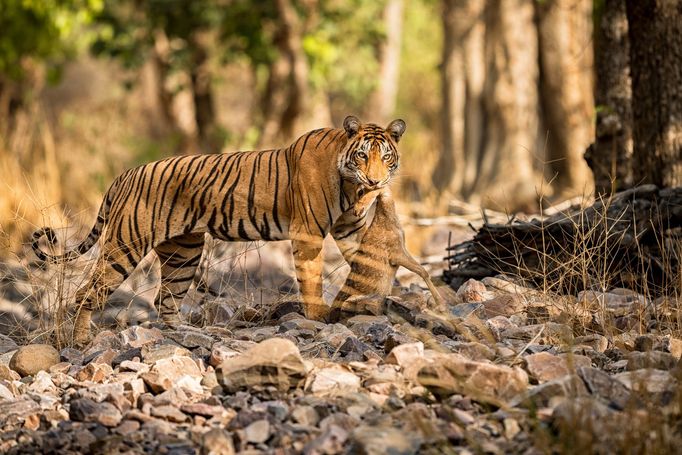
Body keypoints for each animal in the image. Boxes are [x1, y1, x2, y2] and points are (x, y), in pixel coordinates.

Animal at [31, 116, 404, 344]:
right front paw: (317, 317)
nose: (375, 181)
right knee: (88, 292)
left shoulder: (350, 229)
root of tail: (125, 174)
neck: (351, 188)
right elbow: (311, 278)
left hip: (184, 252)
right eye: (361, 156)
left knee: (164, 298)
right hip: (125, 245)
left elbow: (368, 261)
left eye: (385, 157)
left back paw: (184, 335)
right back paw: (81, 340)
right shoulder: (308, 233)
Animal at [328, 187, 444, 322]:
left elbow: (422, 270)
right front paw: (441, 305)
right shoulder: (395, 254)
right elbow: (422, 271)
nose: (357, 211)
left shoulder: (403, 248)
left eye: (362, 190)